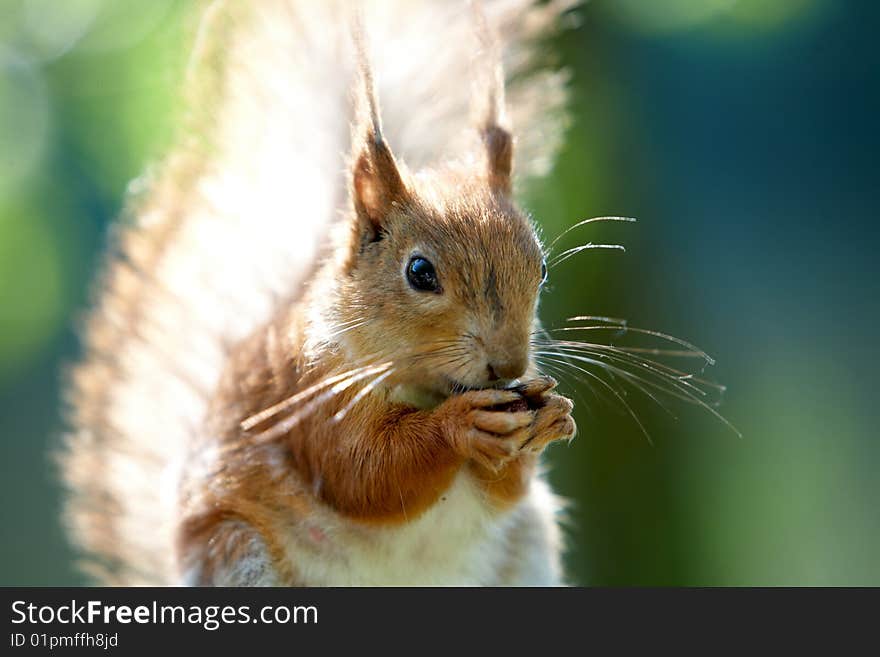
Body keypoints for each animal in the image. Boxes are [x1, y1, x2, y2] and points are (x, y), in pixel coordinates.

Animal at [60, 0, 576, 584]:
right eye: (420, 272)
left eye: (541, 269)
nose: (509, 365)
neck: (426, 385)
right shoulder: (310, 394)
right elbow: (365, 471)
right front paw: (456, 426)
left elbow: (502, 489)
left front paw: (553, 416)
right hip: (240, 554)